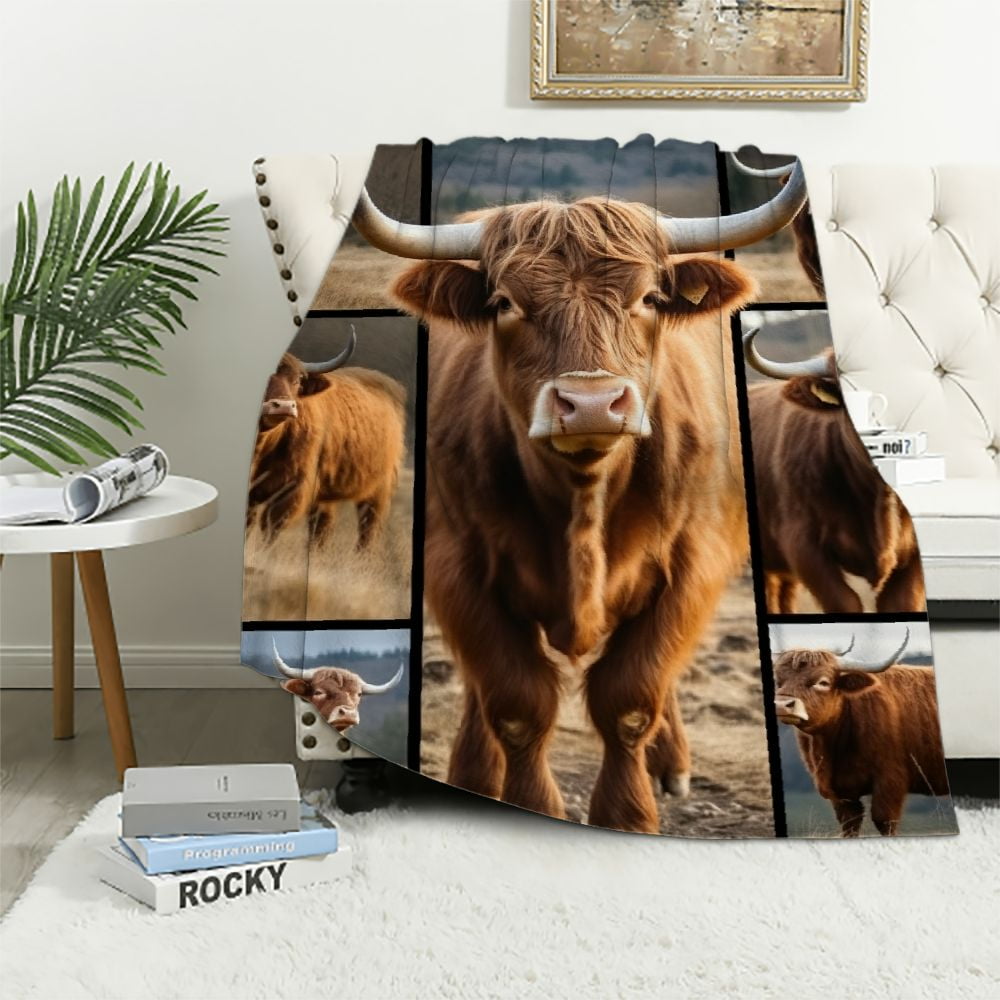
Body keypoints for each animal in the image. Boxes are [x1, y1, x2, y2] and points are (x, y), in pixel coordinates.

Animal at [248, 326, 407, 550]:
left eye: (297, 381)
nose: (284, 406)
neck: (263, 447)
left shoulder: (292, 489)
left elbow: (270, 528)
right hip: (326, 494)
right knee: (321, 530)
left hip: (379, 490)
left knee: (368, 531)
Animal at [350, 163, 808, 832]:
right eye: (505, 303)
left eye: (649, 299)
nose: (591, 404)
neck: (584, 506)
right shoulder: (454, 567)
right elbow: (516, 702)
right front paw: (528, 803)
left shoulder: (695, 565)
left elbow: (631, 699)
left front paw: (628, 815)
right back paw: (473, 771)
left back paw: (671, 764)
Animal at [773, 628, 949, 836]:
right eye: (779, 682)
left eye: (822, 682)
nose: (782, 705)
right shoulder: (842, 795)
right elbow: (849, 826)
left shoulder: (890, 782)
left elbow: (884, 822)